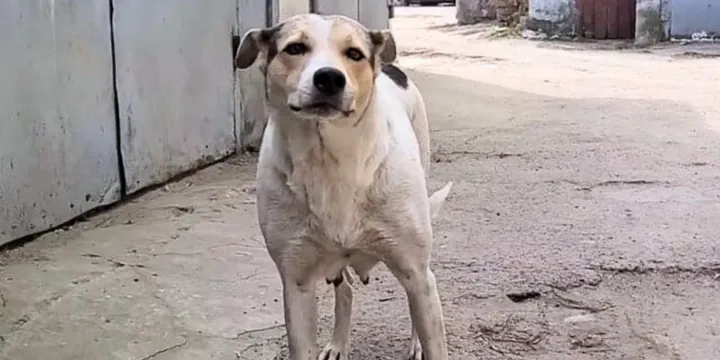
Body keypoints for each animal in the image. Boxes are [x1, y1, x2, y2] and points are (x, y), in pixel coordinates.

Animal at [235, 12, 450, 360]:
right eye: (295, 48)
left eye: (354, 54)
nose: (329, 78)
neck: (330, 160)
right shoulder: (296, 284)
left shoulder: (416, 273)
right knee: (345, 289)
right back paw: (338, 344)